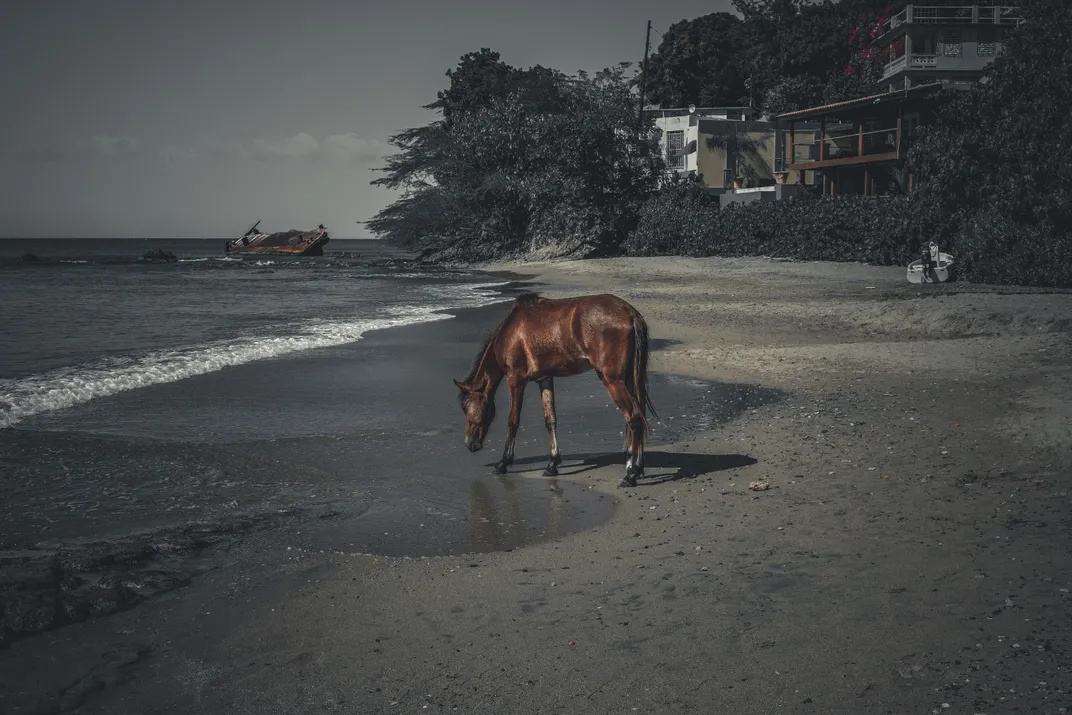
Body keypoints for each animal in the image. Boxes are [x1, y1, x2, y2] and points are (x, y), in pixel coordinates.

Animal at [450, 293, 656, 488]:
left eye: (464, 406)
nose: (469, 443)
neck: (511, 331)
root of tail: (630, 312)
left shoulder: (516, 380)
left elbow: (513, 421)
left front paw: (503, 463)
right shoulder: (545, 379)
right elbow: (550, 420)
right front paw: (552, 464)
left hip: (613, 380)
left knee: (634, 418)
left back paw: (631, 475)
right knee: (638, 416)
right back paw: (636, 468)